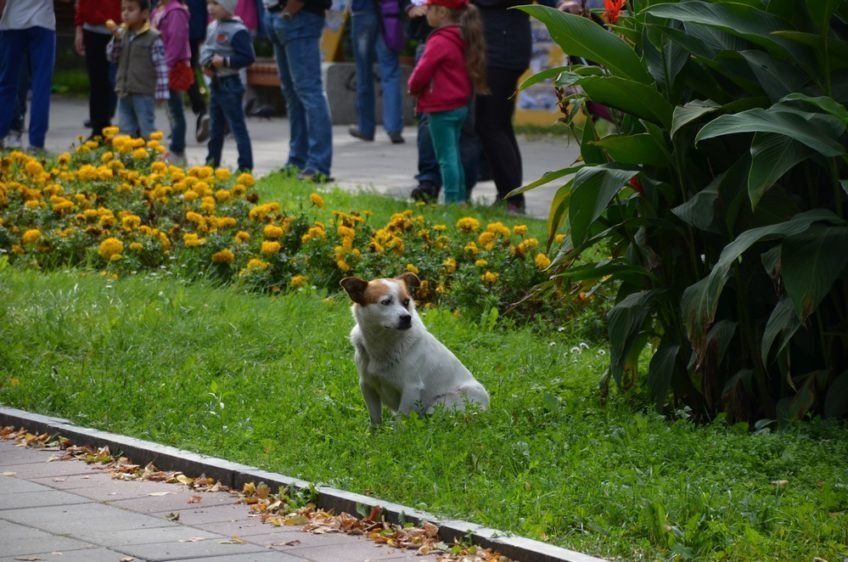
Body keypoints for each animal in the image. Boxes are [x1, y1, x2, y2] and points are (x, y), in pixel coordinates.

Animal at [340, 272, 490, 426]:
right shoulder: (367, 386)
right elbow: (375, 418)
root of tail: (486, 405)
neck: (383, 343)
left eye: (406, 302)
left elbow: (400, 420)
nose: (407, 317)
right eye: (386, 302)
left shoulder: (411, 389)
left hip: (441, 404)